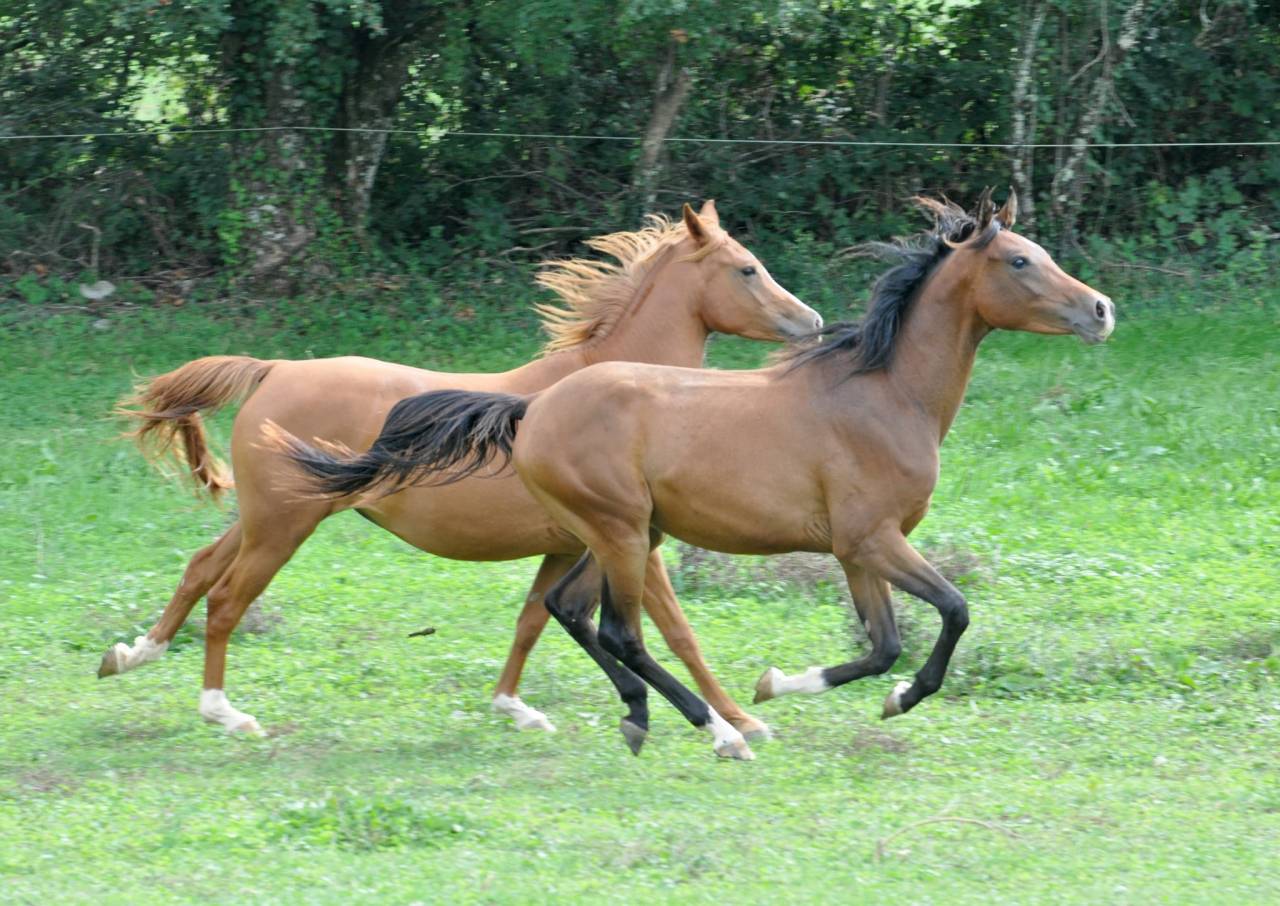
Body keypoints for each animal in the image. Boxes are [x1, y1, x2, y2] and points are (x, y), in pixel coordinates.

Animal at [104, 201, 822, 738]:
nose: (811, 321)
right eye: (747, 269)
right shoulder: (630, 540)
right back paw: (224, 712)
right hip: (284, 524)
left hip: (265, 517)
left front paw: (514, 708)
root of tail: (272, 370)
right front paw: (739, 722)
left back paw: (131, 654)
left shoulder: (568, 547)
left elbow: (533, 620)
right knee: (227, 599)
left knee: (200, 567)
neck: (608, 390)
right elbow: (676, 630)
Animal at [277, 189, 1115, 760]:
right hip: (619, 532)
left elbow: (882, 643)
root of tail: (533, 407)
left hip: (615, 535)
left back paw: (643, 716)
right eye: (1019, 260)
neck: (881, 394)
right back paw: (713, 732)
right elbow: (949, 614)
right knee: (618, 628)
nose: (1102, 310)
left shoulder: (856, 550)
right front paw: (849, 698)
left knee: (567, 610)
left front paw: (784, 686)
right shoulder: (871, 540)